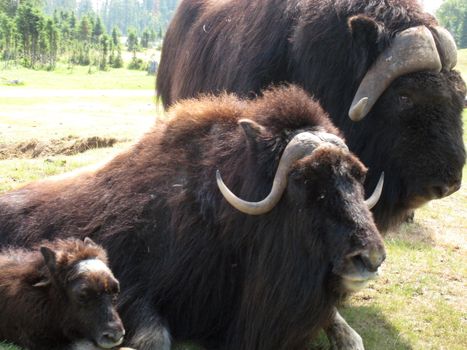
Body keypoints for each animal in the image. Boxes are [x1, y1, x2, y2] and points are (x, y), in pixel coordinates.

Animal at [0, 85, 386, 350]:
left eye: (359, 175)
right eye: (305, 179)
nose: (371, 258)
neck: (225, 222)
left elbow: (349, 335)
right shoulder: (130, 285)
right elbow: (155, 338)